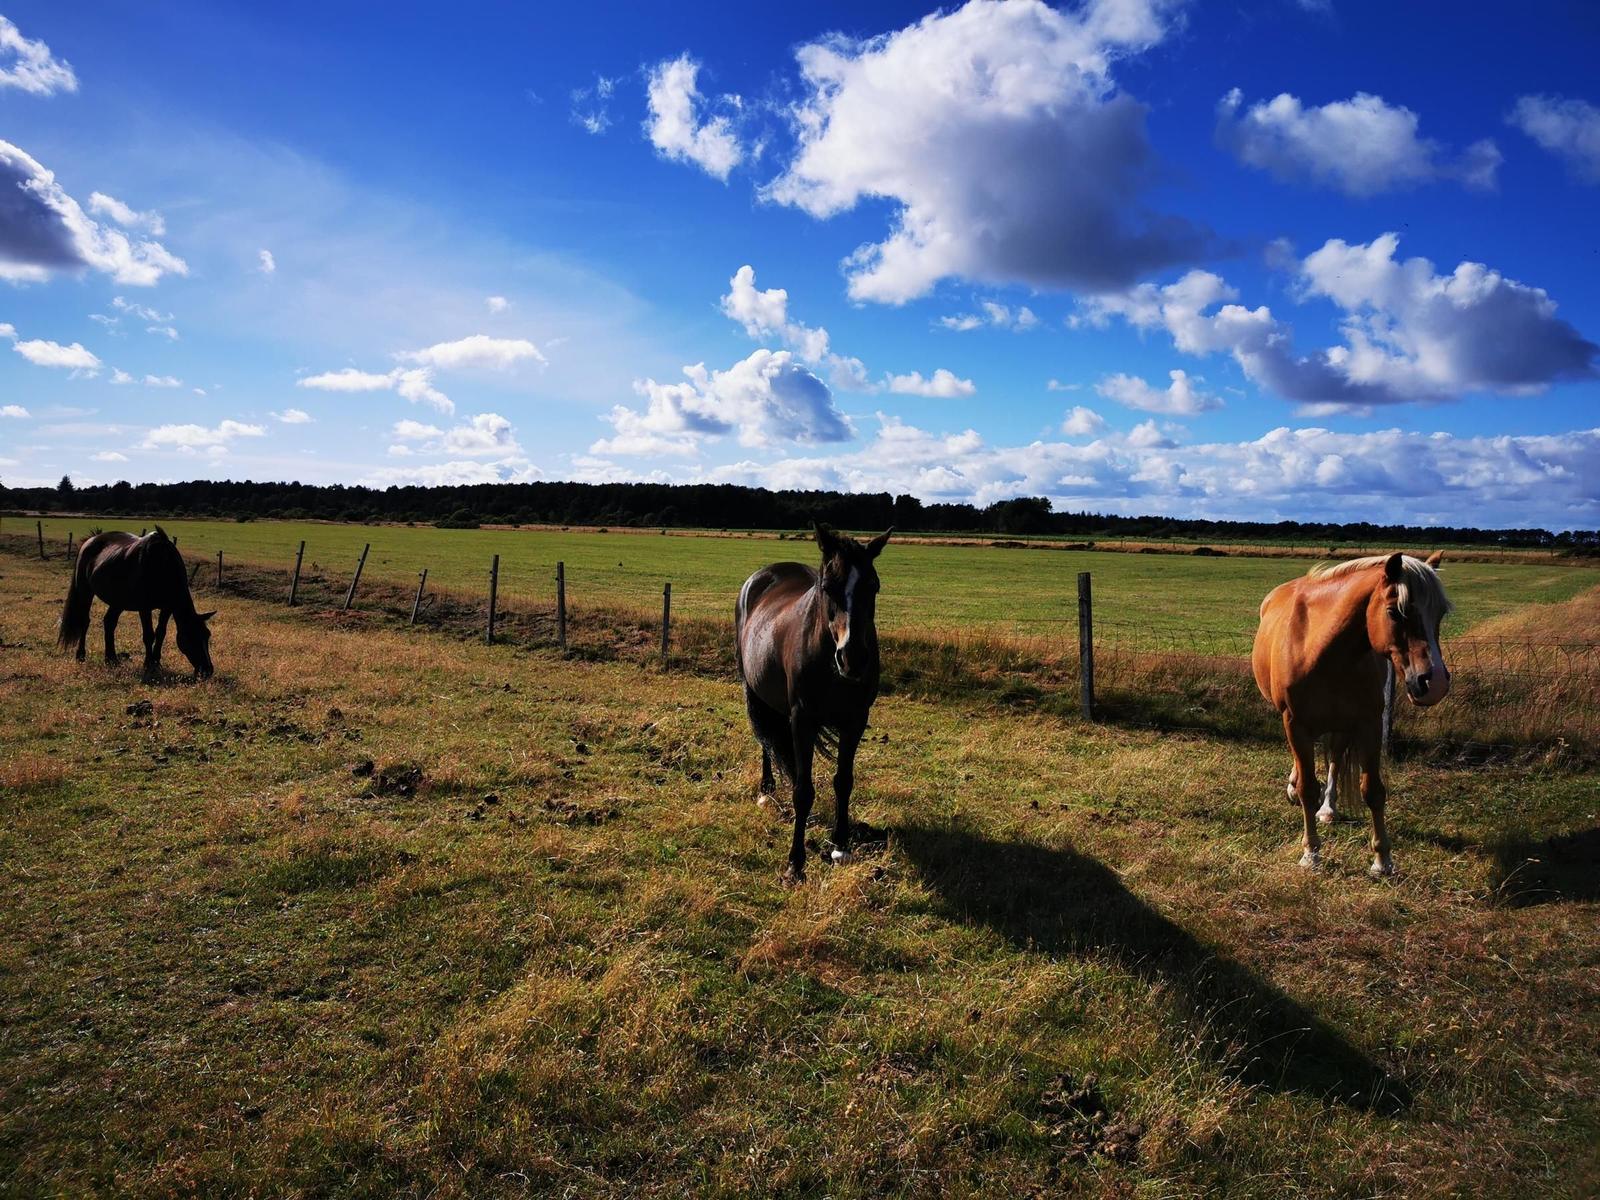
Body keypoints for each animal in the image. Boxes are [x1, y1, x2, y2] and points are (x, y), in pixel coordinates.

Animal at [58, 528, 215, 683]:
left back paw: (111, 659)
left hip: (118, 601)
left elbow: (161, 633)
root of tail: (90, 540)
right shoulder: (144, 608)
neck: (162, 565)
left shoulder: (167, 607)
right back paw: (81, 656)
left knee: (109, 622)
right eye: (191, 637)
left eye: (207, 635)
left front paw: (156, 662)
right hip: (85, 591)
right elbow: (149, 635)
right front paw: (148, 664)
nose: (207, 670)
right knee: (85, 621)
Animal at [735, 524, 892, 881]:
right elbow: (803, 791)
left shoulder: (855, 721)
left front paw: (841, 845)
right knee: (764, 737)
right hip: (755, 690)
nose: (853, 658)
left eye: (873, 585)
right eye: (828, 587)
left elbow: (843, 781)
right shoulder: (803, 721)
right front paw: (795, 864)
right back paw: (766, 787)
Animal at [1252, 552, 1450, 876]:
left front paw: (1382, 860)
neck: (1320, 649)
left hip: (1342, 725)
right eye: (1395, 612)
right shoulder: (1295, 723)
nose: (1435, 684)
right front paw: (1311, 854)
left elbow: (1373, 791)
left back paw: (1328, 809)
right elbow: (1308, 787)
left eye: (1440, 614)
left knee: (1334, 758)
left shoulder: (1367, 724)